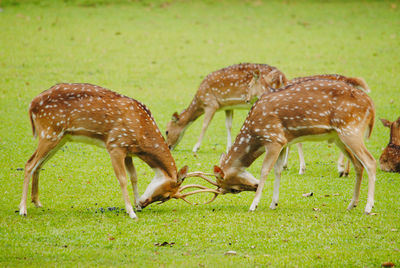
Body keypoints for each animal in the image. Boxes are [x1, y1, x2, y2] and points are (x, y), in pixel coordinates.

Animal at [18, 84, 219, 220]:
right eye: (166, 195)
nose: (145, 203)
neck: (141, 133)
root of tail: (31, 105)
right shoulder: (115, 145)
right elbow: (122, 178)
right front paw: (131, 211)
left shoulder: (129, 151)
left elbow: (134, 176)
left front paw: (137, 205)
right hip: (49, 132)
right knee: (29, 163)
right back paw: (23, 209)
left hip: (61, 138)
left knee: (38, 164)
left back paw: (37, 202)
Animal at [208, 77, 376, 214]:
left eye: (233, 189)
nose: (254, 187)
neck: (255, 134)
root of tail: (371, 105)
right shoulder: (283, 141)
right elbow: (277, 170)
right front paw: (273, 204)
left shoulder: (274, 138)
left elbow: (265, 170)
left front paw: (253, 205)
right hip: (338, 137)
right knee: (358, 165)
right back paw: (352, 204)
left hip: (350, 130)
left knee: (370, 162)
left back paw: (368, 207)